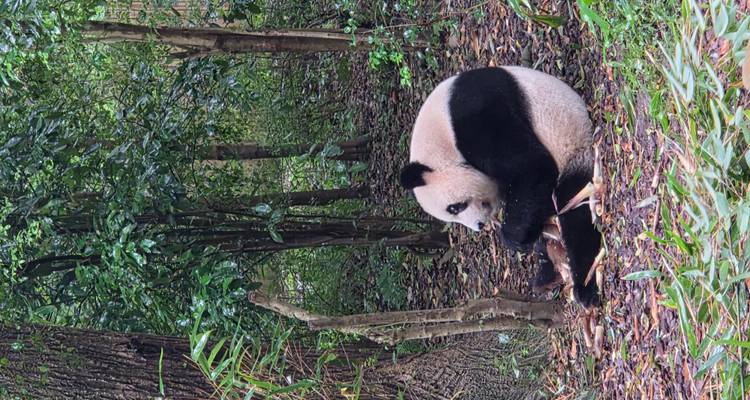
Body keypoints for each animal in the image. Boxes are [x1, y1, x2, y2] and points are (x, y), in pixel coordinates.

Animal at [399, 66, 602, 307]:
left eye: (454, 207)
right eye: (453, 213)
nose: (478, 225)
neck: (441, 141)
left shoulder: (472, 117)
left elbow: (533, 167)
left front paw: (512, 239)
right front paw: (530, 240)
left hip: (573, 148)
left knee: (576, 211)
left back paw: (585, 288)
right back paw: (546, 275)